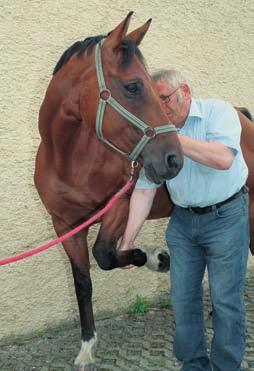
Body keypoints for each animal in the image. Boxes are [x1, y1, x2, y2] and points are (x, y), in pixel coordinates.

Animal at [34, 12, 184, 371]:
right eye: (133, 86)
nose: (174, 159)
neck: (69, 159)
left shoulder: (121, 203)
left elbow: (104, 253)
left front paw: (156, 258)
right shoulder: (65, 226)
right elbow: (83, 282)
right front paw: (87, 347)